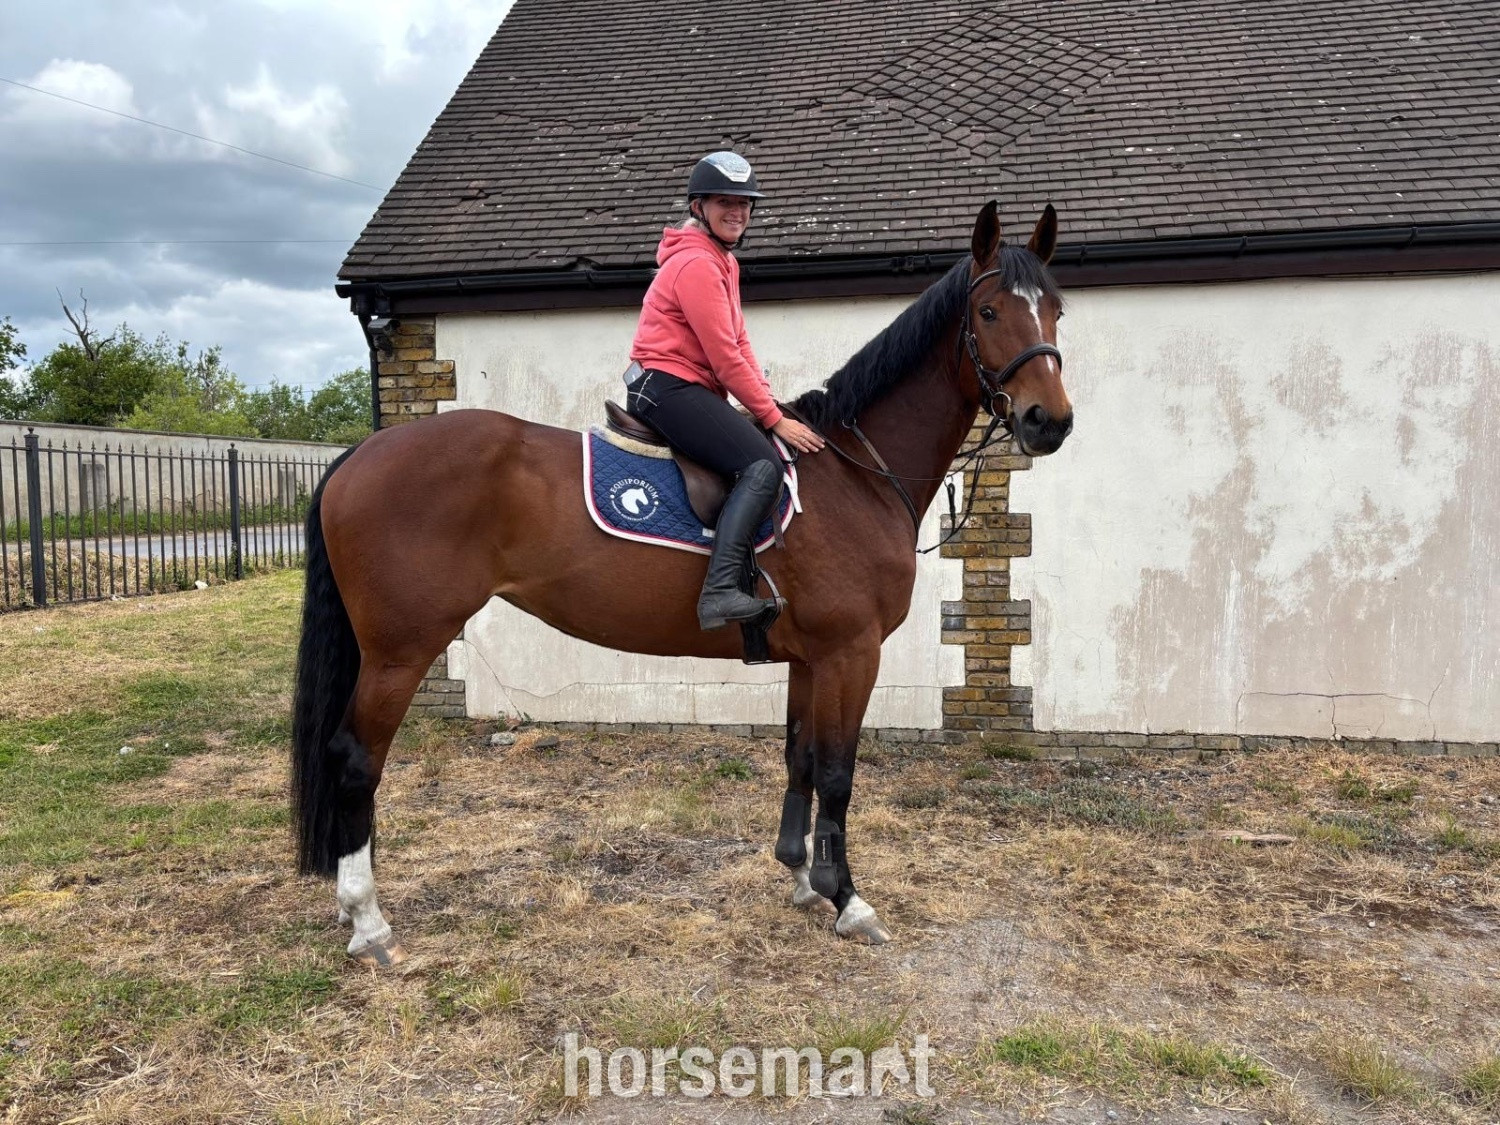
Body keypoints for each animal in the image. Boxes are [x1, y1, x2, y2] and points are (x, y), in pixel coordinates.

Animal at [291, 201, 1073, 966]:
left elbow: (799, 758)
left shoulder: (810, 658)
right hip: (400, 650)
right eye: (991, 311)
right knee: (356, 759)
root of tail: (361, 453)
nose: (1051, 421)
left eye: (1057, 309)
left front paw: (800, 877)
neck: (855, 472)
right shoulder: (851, 653)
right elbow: (838, 773)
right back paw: (368, 920)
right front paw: (848, 899)